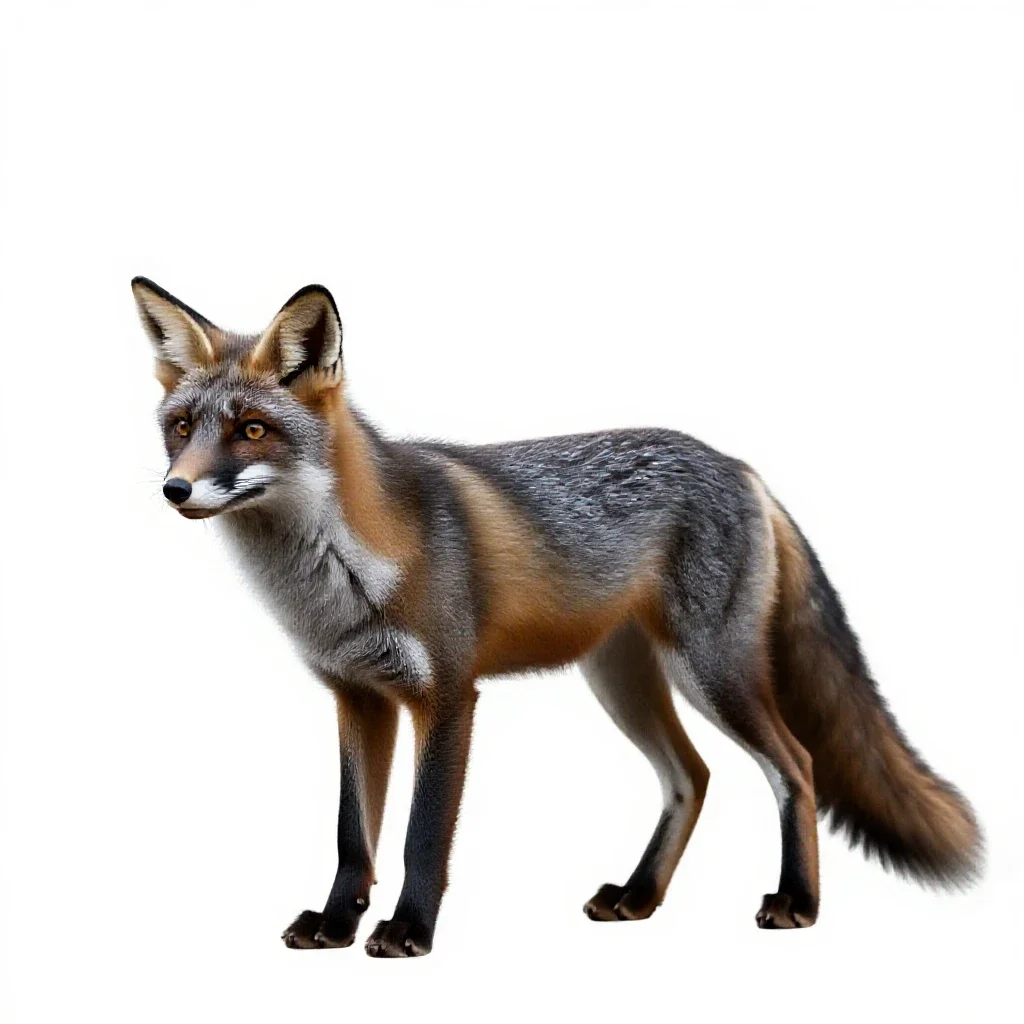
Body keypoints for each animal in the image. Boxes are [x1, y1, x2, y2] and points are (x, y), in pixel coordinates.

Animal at [134, 276, 982, 957]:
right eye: (180, 428)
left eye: (251, 430)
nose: (175, 490)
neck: (338, 581)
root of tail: (739, 466)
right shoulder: (358, 697)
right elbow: (353, 837)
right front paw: (337, 925)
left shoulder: (448, 694)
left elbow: (420, 836)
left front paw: (408, 932)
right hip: (622, 681)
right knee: (693, 776)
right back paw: (639, 898)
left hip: (713, 674)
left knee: (797, 767)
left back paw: (798, 902)